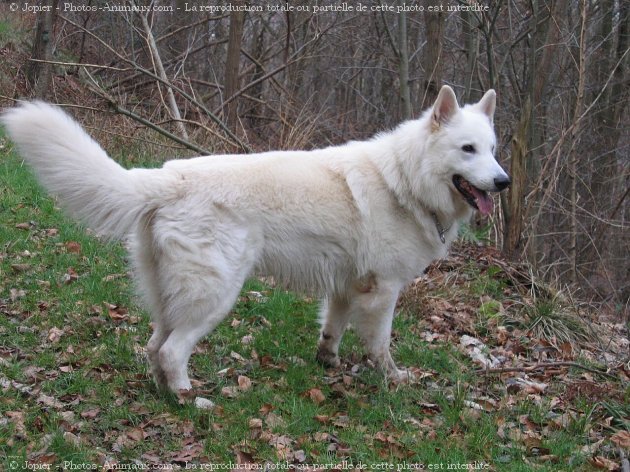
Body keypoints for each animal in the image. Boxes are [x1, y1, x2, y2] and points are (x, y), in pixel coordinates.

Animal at [2, 85, 512, 394]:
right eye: (467, 150)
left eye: (492, 150)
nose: (503, 182)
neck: (406, 181)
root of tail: (169, 176)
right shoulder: (383, 291)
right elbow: (381, 343)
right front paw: (393, 380)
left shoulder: (345, 288)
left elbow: (332, 329)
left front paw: (327, 362)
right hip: (215, 295)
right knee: (171, 349)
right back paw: (189, 399)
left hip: (173, 294)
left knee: (153, 346)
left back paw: (163, 392)